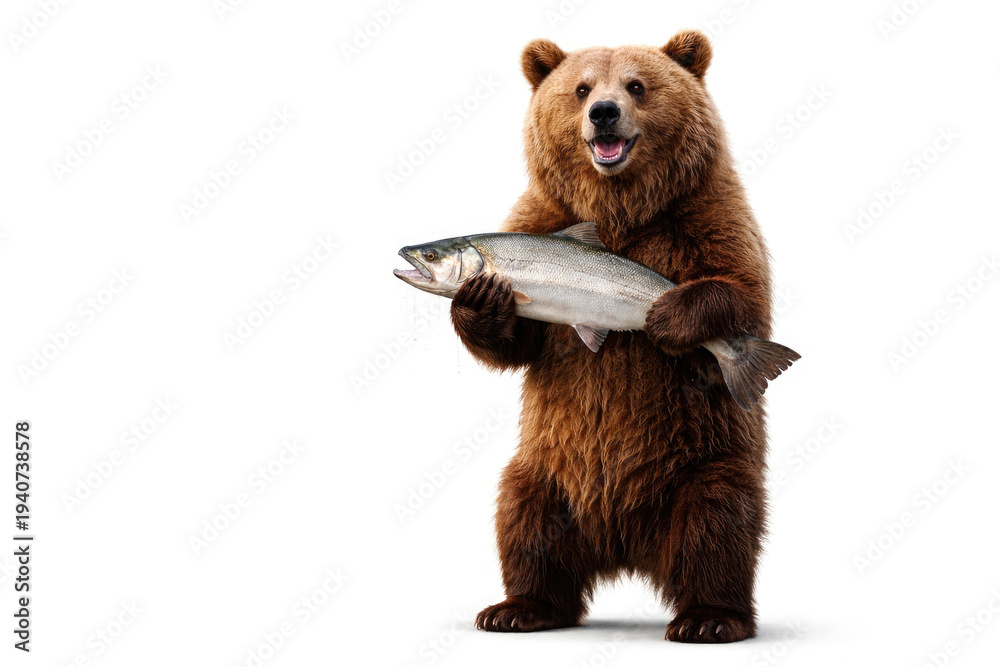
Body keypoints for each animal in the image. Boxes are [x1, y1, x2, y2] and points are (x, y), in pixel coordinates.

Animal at [451, 30, 773, 643]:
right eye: (580, 89)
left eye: (637, 85)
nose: (603, 112)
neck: (621, 204)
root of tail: (623, 547)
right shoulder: (540, 214)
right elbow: (517, 342)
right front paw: (479, 302)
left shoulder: (708, 213)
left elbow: (743, 291)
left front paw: (669, 315)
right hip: (547, 469)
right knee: (524, 520)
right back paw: (517, 608)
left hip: (703, 460)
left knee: (717, 524)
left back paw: (708, 618)